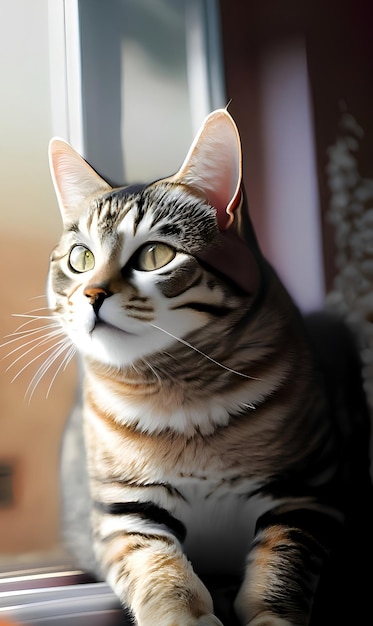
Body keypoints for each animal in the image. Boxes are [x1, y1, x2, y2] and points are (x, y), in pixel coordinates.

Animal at [45, 111, 370, 624]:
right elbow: (160, 574)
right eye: (81, 258)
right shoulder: (125, 512)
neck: (182, 392)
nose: (92, 294)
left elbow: (280, 570)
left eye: (155, 255)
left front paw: (271, 614)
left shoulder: (305, 493)